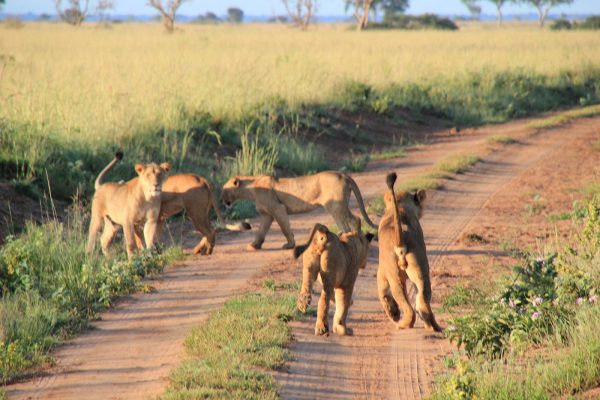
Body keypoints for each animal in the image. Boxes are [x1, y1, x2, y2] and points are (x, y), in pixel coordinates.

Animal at [223, 171, 378, 252]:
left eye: (224, 190)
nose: (223, 201)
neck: (251, 189)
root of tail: (343, 174)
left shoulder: (278, 208)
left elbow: (285, 228)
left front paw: (290, 245)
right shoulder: (267, 214)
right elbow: (261, 231)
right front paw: (254, 245)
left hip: (335, 206)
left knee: (347, 224)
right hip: (342, 205)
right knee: (356, 218)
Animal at [378, 172, 442, 332]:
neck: (401, 207)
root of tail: (401, 241)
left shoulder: (381, 270)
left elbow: (382, 293)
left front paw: (392, 312)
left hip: (394, 275)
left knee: (407, 305)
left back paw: (402, 323)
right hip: (420, 268)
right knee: (423, 299)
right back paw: (434, 327)